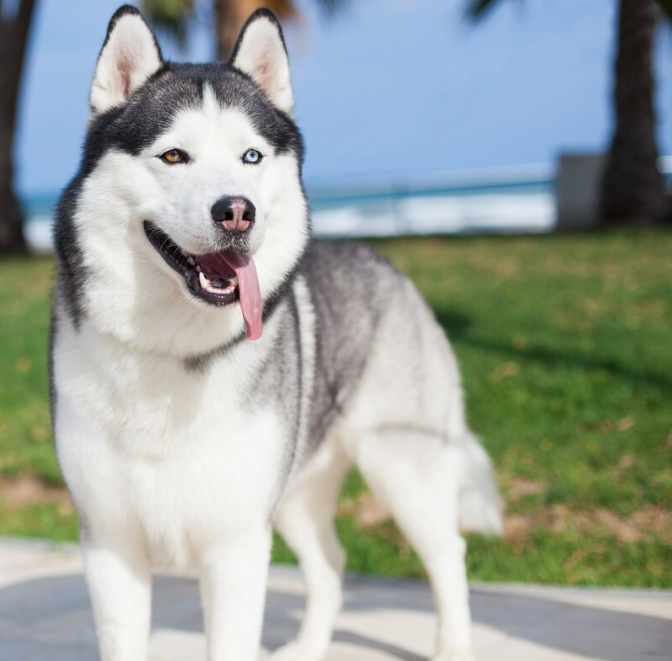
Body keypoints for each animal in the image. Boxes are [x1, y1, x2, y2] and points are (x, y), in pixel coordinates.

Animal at [51, 6, 504, 660]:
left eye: (251, 157)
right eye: (173, 157)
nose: (237, 211)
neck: (173, 346)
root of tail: (383, 260)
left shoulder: (237, 546)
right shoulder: (110, 544)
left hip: (402, 468)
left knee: (448, 554)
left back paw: (452, 645)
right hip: (296, 492)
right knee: (332, 565)